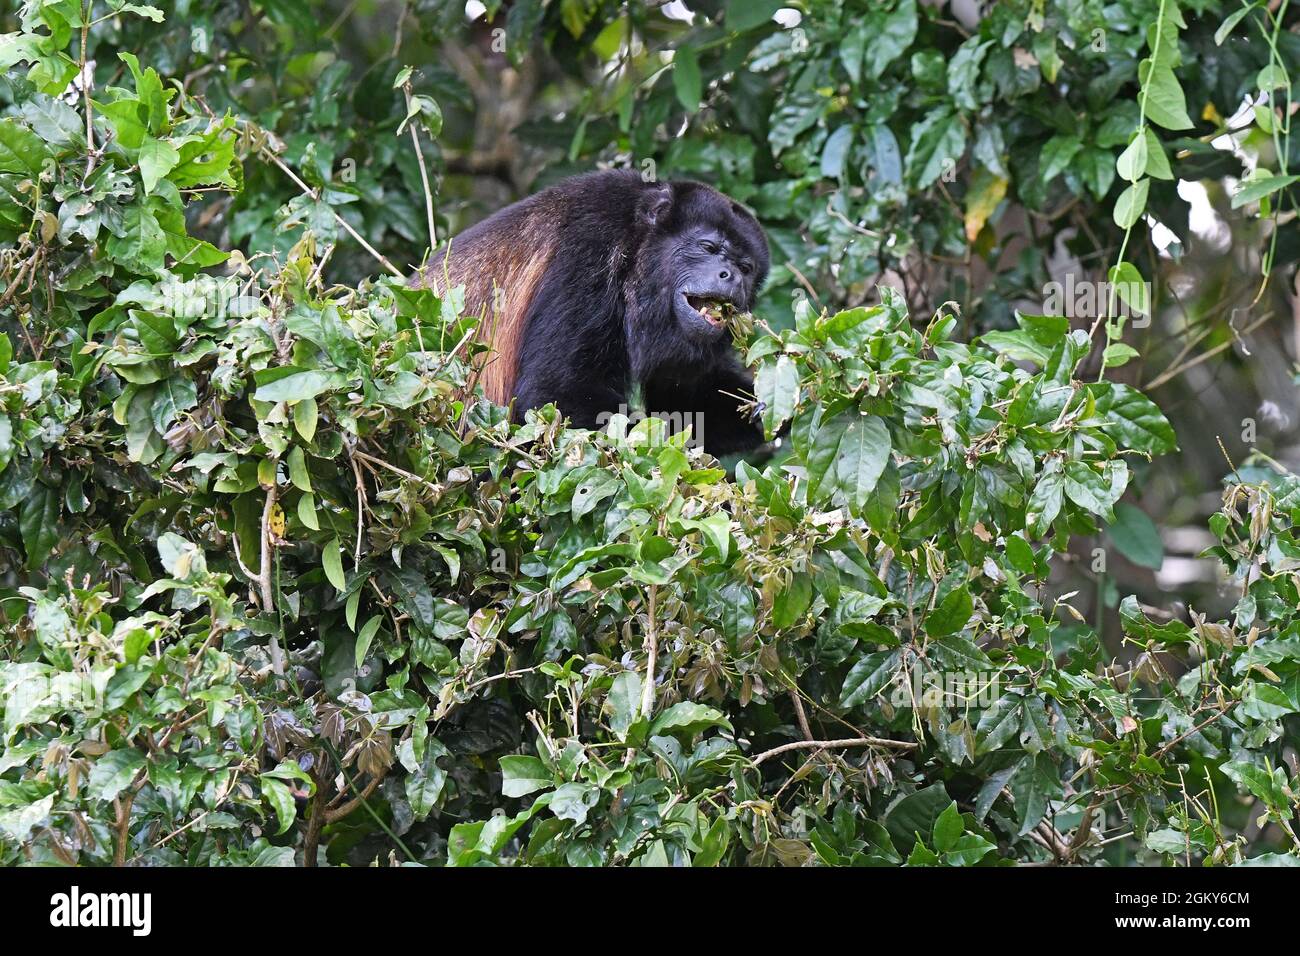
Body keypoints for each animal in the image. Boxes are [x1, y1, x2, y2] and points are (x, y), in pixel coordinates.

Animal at [411, 169, 771, 457]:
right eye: (708, 247)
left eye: (746, 267)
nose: (732, 276)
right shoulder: (587, 251)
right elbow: (557, 395)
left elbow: (683, 401)